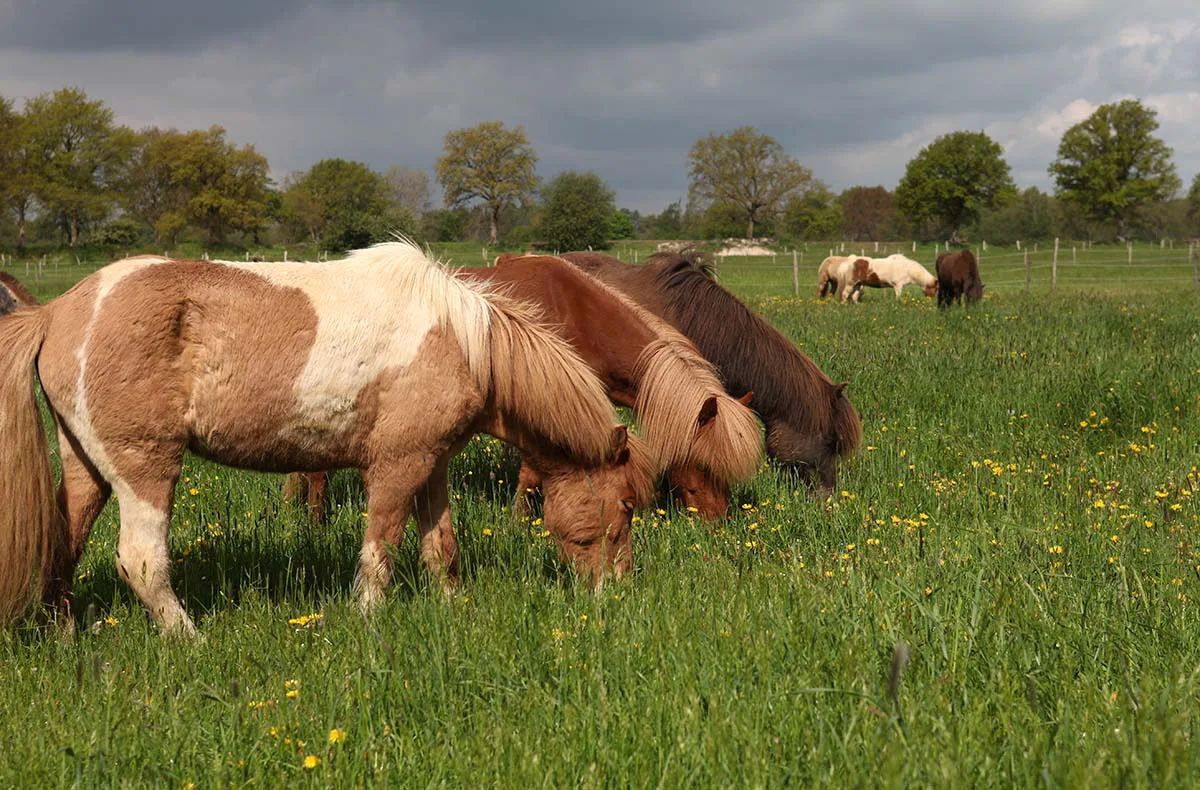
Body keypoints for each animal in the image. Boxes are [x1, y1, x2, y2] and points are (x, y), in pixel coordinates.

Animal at [0, 242, 655, 635]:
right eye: (625, 506)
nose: (617, 593)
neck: (465, 341)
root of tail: (56, 312)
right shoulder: (395, 466)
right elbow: (379, 552)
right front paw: (368, 619)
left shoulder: (432, 464)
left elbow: (440, 547)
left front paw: (449, 611)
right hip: (145, 469)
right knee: (140, 560)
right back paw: (190, 638)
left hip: (85, 465)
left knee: (65, 541)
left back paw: (65, 630)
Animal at [286, 253, 764, 521]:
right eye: (703, 462)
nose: (717, 524)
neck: (578, 314)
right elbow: (532, 472)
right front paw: (520, 522)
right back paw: (315, 522)